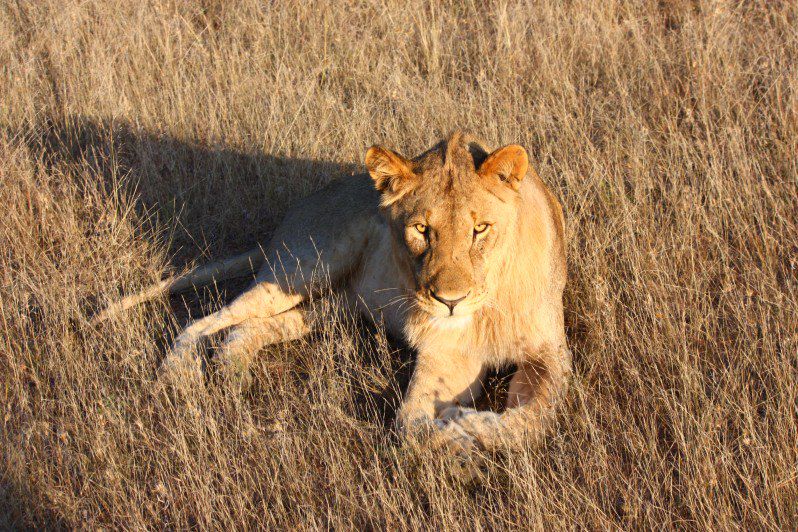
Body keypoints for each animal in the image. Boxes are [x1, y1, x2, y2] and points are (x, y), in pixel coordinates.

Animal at [101, 133, 576, 454]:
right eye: (422, 229)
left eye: (480, 229)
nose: (450, 301)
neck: (486, 306)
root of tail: (296, 211)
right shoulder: (446, 354)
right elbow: (409, 425)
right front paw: (451, 431)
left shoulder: (550, 353)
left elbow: (534, 417)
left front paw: (461, 428)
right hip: (303, 268)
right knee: (204, 321)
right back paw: (178, 375)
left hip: (336, 305)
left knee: (252, 328)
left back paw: (231, 368)